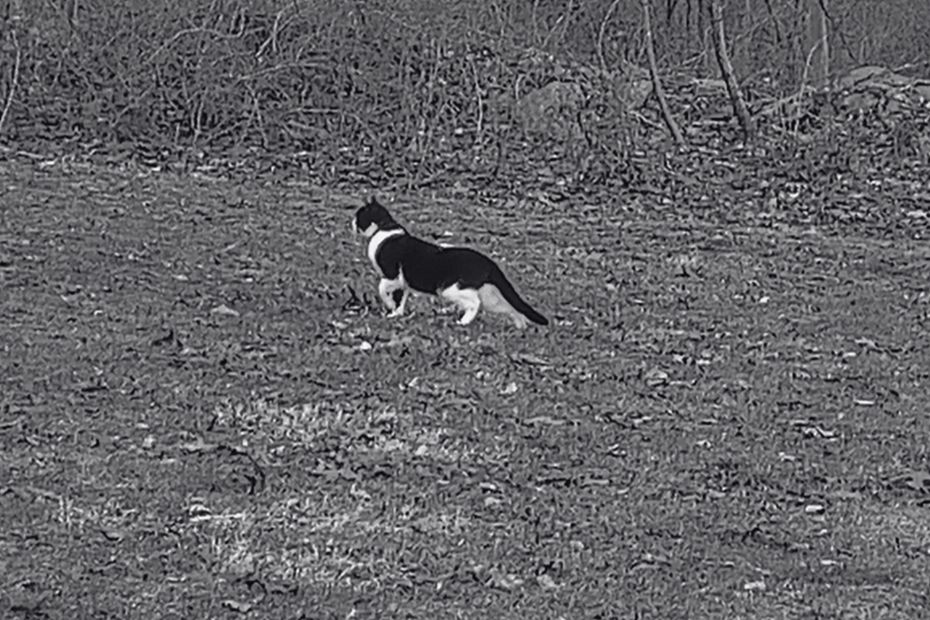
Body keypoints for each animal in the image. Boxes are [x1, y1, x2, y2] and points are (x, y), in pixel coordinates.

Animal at [352, 199, 548, 330]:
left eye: (358, 215)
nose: (352, 222)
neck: (384, 228)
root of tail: (488, 262)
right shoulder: (404, 284)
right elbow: (401, 299)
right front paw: (396, 313)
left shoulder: (392, 275)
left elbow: (382, 288)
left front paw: (389, 306)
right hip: (490, 298)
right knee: (510, 308)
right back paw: (520, 326)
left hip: (451, 289)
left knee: (475, 303)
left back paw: (463, 322)